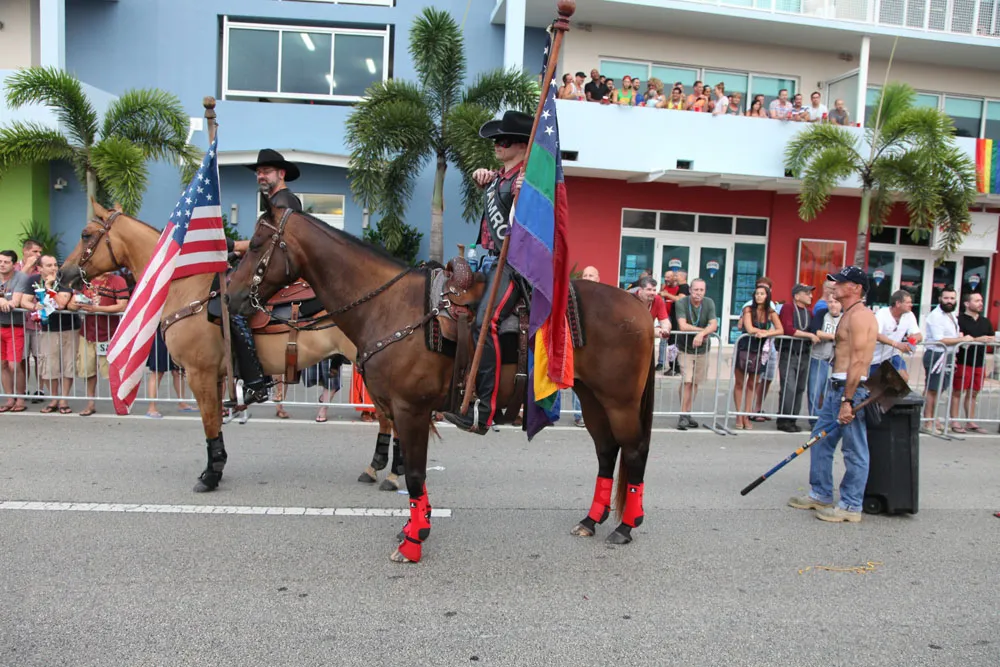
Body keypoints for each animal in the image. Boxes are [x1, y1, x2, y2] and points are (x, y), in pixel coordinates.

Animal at [59, 201, 402, 492]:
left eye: (86, 234)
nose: (63, 274)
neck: (185, 289)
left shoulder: (199, 372)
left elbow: (209, 422)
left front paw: (210, 476)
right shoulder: (215, 375)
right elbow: (213, 422)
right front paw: (216, 467)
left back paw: (393, 473)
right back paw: (375, 468)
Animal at [227, 206, 656, 563]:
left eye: (258, 244)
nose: (231, 297)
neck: (389, 306)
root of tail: (638, 306)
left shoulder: (410, 409)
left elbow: (415, 473)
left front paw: (413, 542)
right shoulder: (397, 409)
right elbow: (410, 470)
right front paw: (413, 525)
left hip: (619, 401)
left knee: (633, 452)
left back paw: (625, 526)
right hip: (591, 397)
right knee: (607, 451)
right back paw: (591, 519)